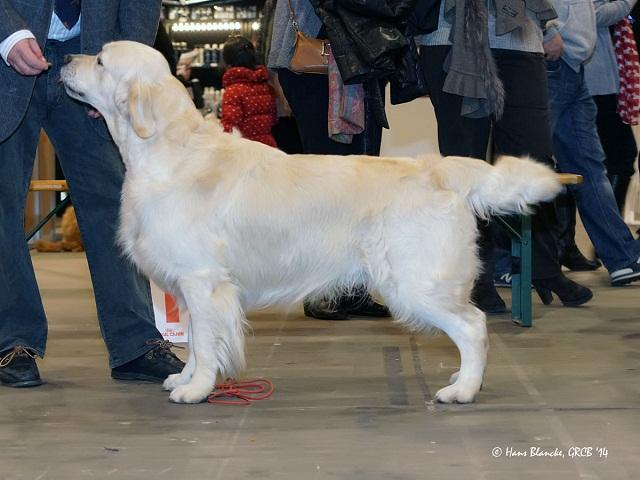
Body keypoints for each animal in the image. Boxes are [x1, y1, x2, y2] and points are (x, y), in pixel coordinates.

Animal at [60, 41, 560, 404]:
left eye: (100, 60)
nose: (63, 58)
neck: (168, 151)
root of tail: (439, 169)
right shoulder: (188, 285)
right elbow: (198, 341)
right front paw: (184, 378)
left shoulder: (202, 280)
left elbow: (204, 341)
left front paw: (197, 389)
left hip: (415, 282)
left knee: (473, 326)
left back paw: (463, 390)